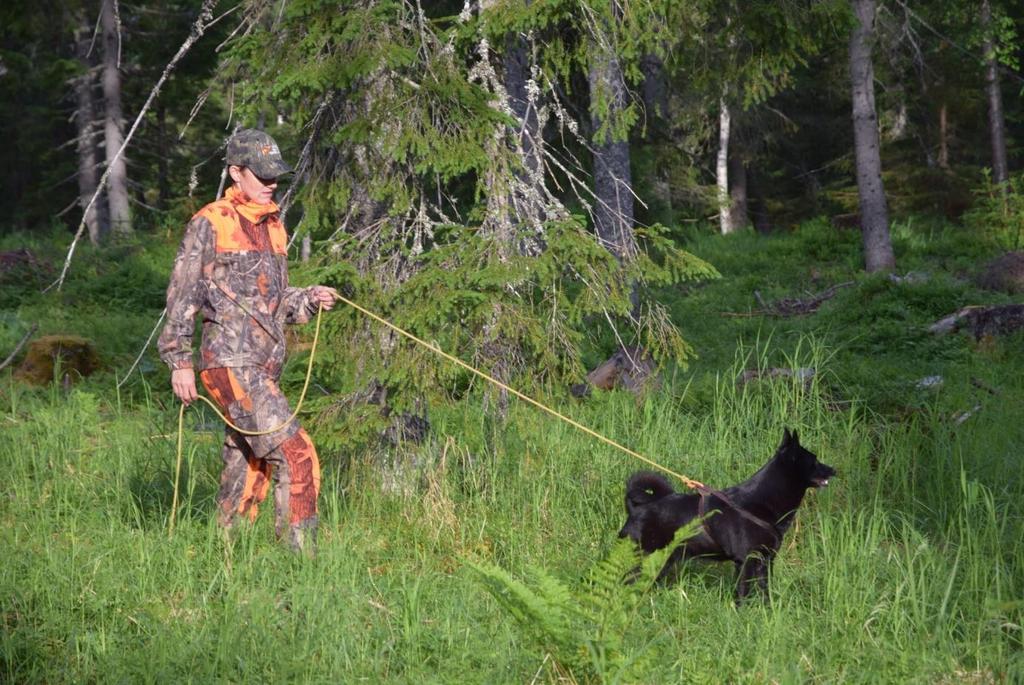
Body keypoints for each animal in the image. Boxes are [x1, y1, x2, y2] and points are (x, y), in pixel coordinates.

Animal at [614, 430, 831, 602]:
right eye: (814, 461)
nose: (833, 469)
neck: (761, 500)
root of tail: (636, 509)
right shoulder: (746, 561)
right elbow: (742, 593)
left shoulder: (765, 561)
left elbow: (764, 592)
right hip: (646, 558)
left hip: (662, 561)